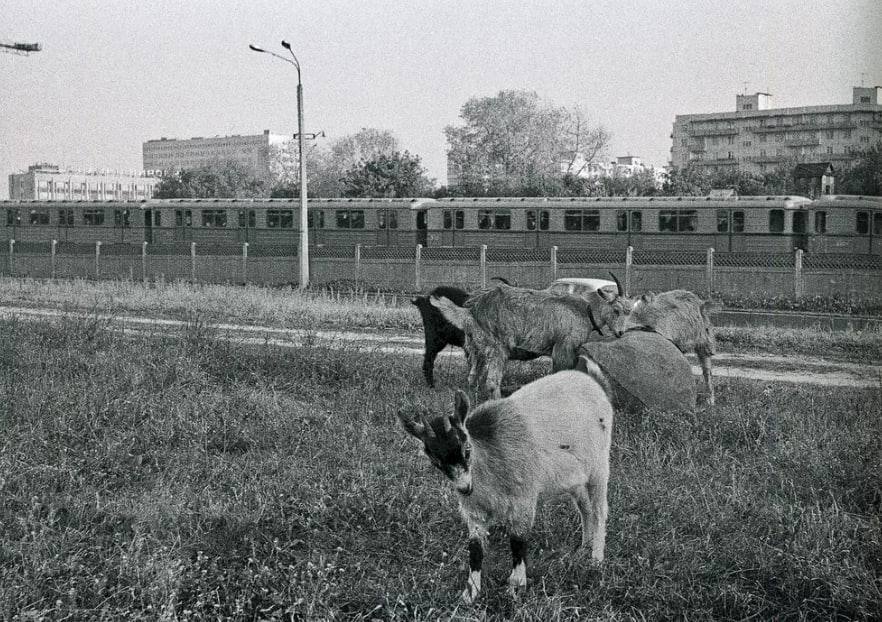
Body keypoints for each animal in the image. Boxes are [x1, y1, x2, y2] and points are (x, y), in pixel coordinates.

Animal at [398, 358, 612, 608]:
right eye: (435, 462)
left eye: (467, 449)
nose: (464, 488)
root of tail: (595, 382)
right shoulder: (474, 510)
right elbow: (475, 548)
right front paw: (470, 593)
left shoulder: (523, 498)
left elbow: (518, 541)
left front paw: (516, 587)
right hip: (575, 478)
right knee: (585, 509)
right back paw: (583, 549)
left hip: (599, 465)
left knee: (599, 510)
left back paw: (596, 560)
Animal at [430, 284, 600, 402]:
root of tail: (471, 311)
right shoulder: (564, 349)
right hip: (496, 349)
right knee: (491, 382)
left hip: (476, 349)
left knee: (472, 377)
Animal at [596, 276, 720, 408]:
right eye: (614, 310)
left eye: (617, 310)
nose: (619, 333)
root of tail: (700, 303)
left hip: (704, 340)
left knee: (707, 369)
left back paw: (710, 400)